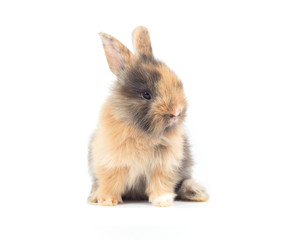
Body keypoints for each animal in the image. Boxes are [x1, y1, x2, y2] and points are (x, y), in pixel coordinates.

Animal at [87, 26, 207, 206]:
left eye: (177, 83)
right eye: (146, 94)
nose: (176, 112)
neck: (143, 132)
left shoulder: (164, 165)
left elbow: (160, 182)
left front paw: (163, 201)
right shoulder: (111, 162)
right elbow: (111, 181)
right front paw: (107, 200)